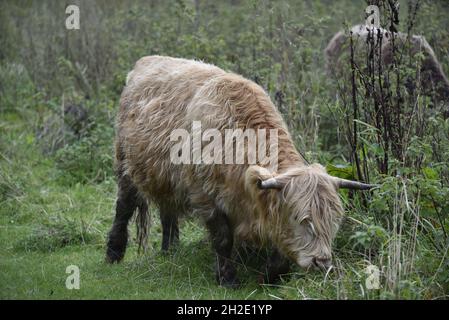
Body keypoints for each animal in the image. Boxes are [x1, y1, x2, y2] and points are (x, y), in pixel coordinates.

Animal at [106, 55, 374, 288]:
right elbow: (223, 240)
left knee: (167, 209)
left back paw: (169, 251)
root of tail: (146, 61)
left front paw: (270, 276)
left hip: (165, 179)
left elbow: (279, 246)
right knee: (124, 207)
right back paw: (113, 253)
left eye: (333, 220)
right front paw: (227, 279)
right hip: (125, 167)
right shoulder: (206, 199)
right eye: (302, 218)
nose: (321, 262)